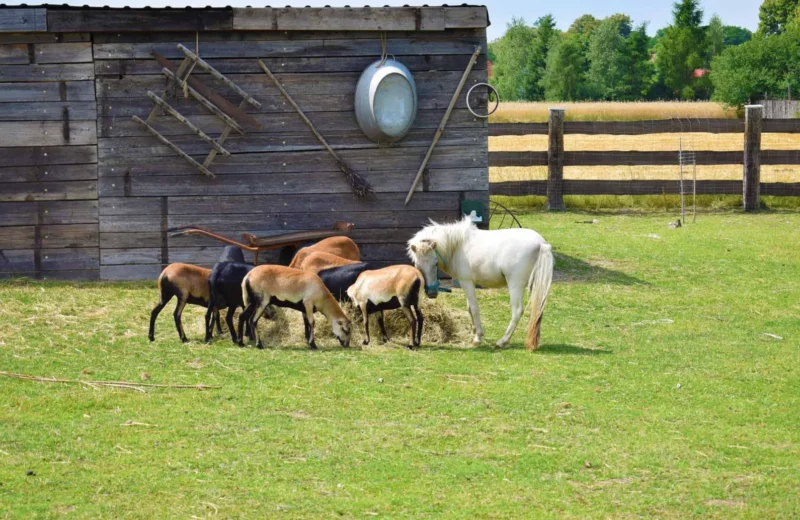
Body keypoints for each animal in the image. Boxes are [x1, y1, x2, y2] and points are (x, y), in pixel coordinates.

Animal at [410, 215, 552, 350]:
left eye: (435, 263)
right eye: (417, 265)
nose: (432, 293)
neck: (457, 246)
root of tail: (541, 243)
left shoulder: (466, 282)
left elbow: (474, 308)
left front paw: (477, 337)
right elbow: (469, 308)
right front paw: (474, 332)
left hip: (515, 286)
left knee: (517, 311)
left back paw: (502, 341)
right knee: (538, 309)